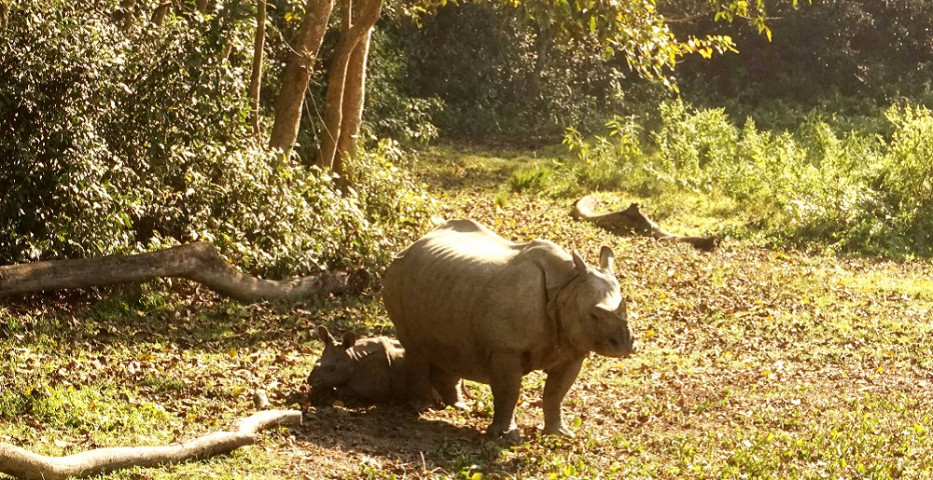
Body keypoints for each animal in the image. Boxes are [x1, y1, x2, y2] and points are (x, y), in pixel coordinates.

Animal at [382, 219, 636, 436]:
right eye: (595, 315)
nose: (625, 345)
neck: (568, 286)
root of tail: (416, 242)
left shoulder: (574, 348)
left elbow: (556, 393)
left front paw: (559, 433)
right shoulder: (506, 349)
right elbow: (509, 391)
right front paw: (505, 436)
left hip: (446, 285)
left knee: (450, 345)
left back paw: (460, 407)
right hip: (397, 272)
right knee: (414, 346)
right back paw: (419, 407)